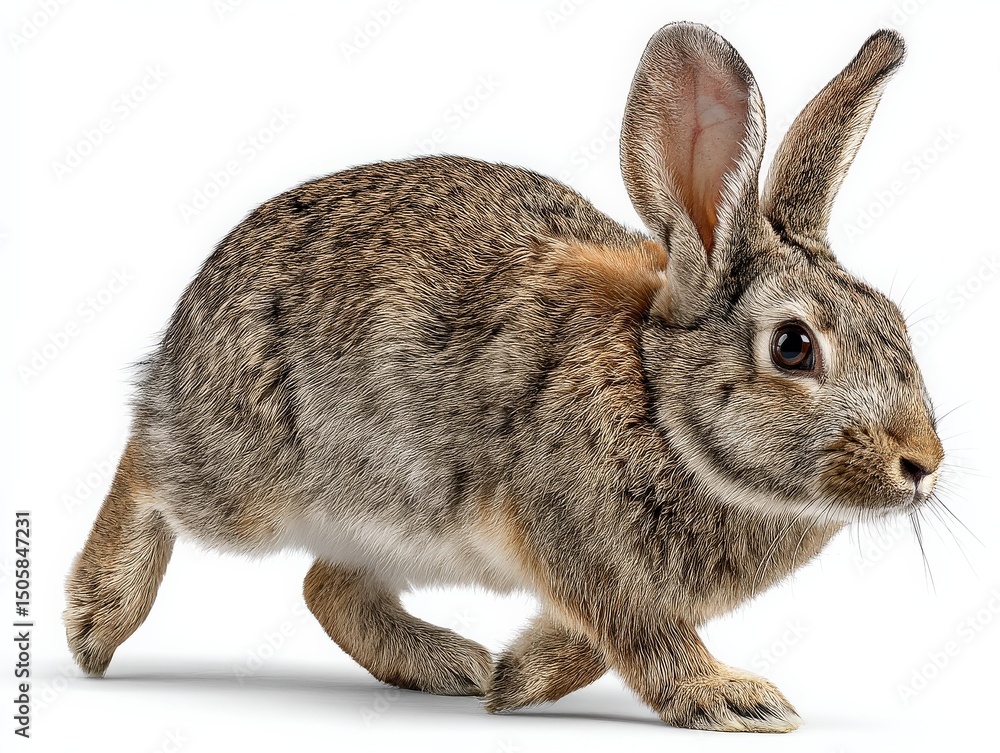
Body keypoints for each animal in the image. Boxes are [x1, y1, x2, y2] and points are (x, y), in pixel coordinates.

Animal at [64, 21, 942, 733]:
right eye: (794, 347)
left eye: (899, 322)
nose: (924, 464)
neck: (658, 401)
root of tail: (189, 320)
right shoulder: (579, 540)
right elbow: (643, 634)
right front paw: (732, 698)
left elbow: (597, 640)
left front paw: (518, 679)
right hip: (244, 472)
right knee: (148, 467)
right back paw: (95, 619)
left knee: (326, 584)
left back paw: (454, 664)